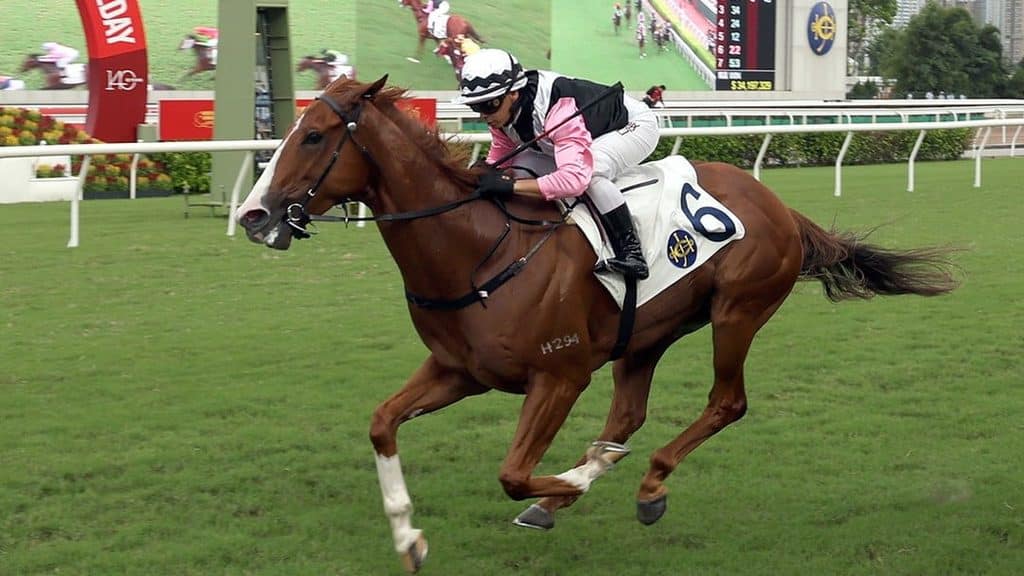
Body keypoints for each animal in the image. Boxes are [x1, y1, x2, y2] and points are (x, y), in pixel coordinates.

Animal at [235, 76, 958, 573]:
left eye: (315, 136)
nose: (252, 214)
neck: (477, 248)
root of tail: (780, 205)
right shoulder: (459, 370)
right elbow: (383, 422)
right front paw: (409, 537)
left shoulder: (560, 374)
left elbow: (513, 472)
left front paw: (580, 476)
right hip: (647, 333)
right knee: (629, 414)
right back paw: (581, 488)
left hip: (737, 311)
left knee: (726, 402)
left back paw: (643, 482)